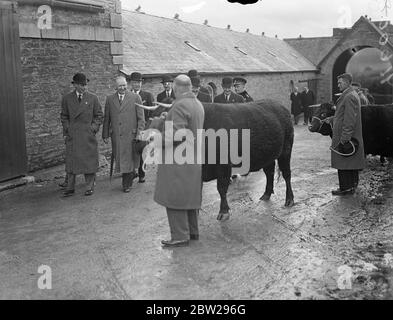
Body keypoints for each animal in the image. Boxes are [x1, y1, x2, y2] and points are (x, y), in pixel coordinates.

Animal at [147, 100, 294, 220]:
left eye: (165, 117)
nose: (149, 138)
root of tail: (281, 106)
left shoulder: (223, 166)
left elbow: (221, 188)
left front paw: (223, 211)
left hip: (286, 150)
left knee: (287, 174)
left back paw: (289, 199)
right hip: (268, 154)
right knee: (269, 172)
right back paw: (266, 194)